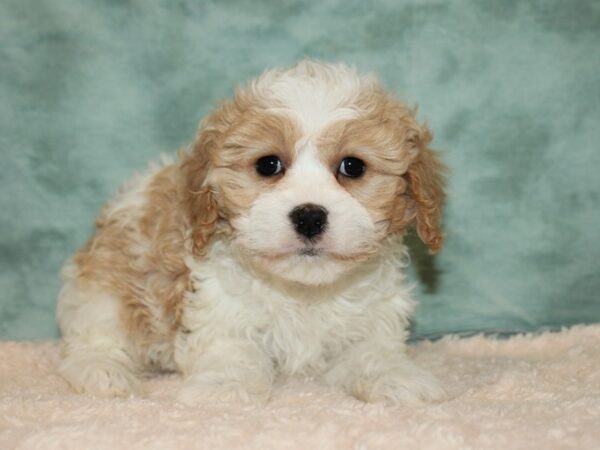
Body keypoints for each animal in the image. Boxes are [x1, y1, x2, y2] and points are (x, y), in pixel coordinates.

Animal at [58, 59, 448, 404]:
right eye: (268, 164)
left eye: (352, 166)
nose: (309, 217)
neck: (303, 291)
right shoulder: (217, 307)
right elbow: (232, 350)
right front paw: (223, 388)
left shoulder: (371, 321)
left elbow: (373, 353)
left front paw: (397, 378)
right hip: (104, 285)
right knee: (96, 336)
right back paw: (102, 372)